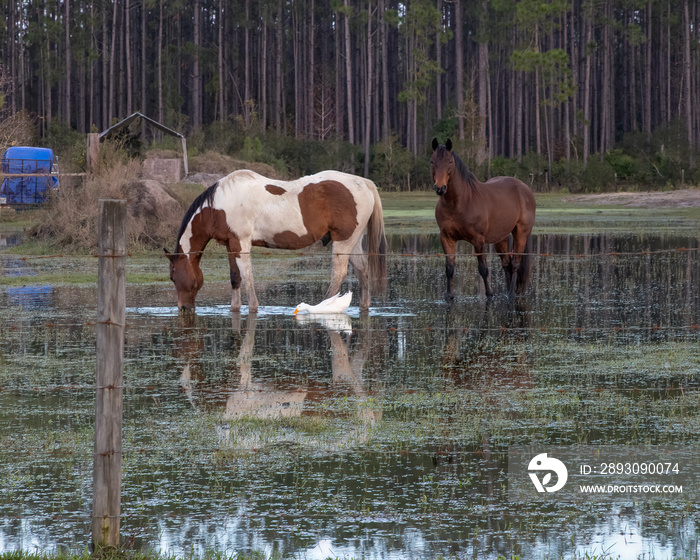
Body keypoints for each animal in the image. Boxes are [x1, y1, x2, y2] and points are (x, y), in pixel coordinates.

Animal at [165, 168, 388, 312]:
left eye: (173, 277)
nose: (183, 308)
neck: (218, 206)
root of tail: (364, 183)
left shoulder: (241, 244)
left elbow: (247, 276)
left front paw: (253, 307)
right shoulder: (231, 245)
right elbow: (235, 277)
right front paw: (234, 308)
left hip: (343, 242)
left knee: (338, 274)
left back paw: (322, 306)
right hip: (353, 242)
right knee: (362, 268)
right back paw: (364, 306)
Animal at [432, 138, 536, 300]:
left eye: (450, 161)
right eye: (432, 161)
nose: (440, 188)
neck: (460, 202)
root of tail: (525, 188)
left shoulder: (478, 240)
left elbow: (483, 269)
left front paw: (490, 294)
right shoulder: (446, 238)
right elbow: (449, 268)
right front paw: (449, 296)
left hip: (521, 233)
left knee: (515, 264)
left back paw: (511, 294)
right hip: (501, 238)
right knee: (507, 264)